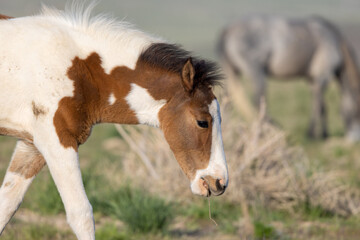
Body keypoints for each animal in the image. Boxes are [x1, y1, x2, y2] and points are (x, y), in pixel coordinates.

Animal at [0, 6, 228, 240]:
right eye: (202, 122)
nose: (219, 182)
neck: (83, 72)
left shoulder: (30, 145)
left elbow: (6, 206)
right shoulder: (57, 141)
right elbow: (81, 214)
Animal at [218, 15, 360, 141]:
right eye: (356, 109)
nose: (355, 138)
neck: (336, 42)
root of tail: (227, 31)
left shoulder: (313, 81)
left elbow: (320, 105)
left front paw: (323, 133)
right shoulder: (322, 77)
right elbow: (319, 105)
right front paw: (315, 134)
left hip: (231, 72)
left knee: (227, 100)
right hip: (256, 73)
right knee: (257, 100)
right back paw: (270, 127)